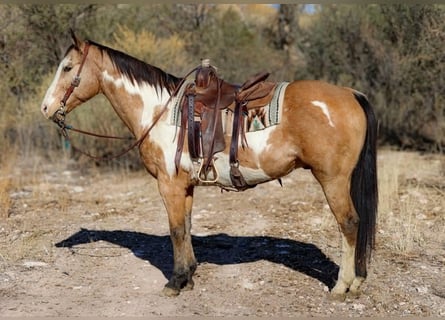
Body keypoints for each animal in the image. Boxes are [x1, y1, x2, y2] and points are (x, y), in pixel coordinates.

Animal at [40, 30, 376, 300]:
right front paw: (188, 277)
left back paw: (342, 287)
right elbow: (187, 227)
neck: (159, 112)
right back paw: (357, 281)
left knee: (349, 223)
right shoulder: (185, 186)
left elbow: (176, 229)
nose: (45, 108)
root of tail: (350, 93)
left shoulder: (169, 184)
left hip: (332, 179)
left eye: (67, 67)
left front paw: (174, 282)